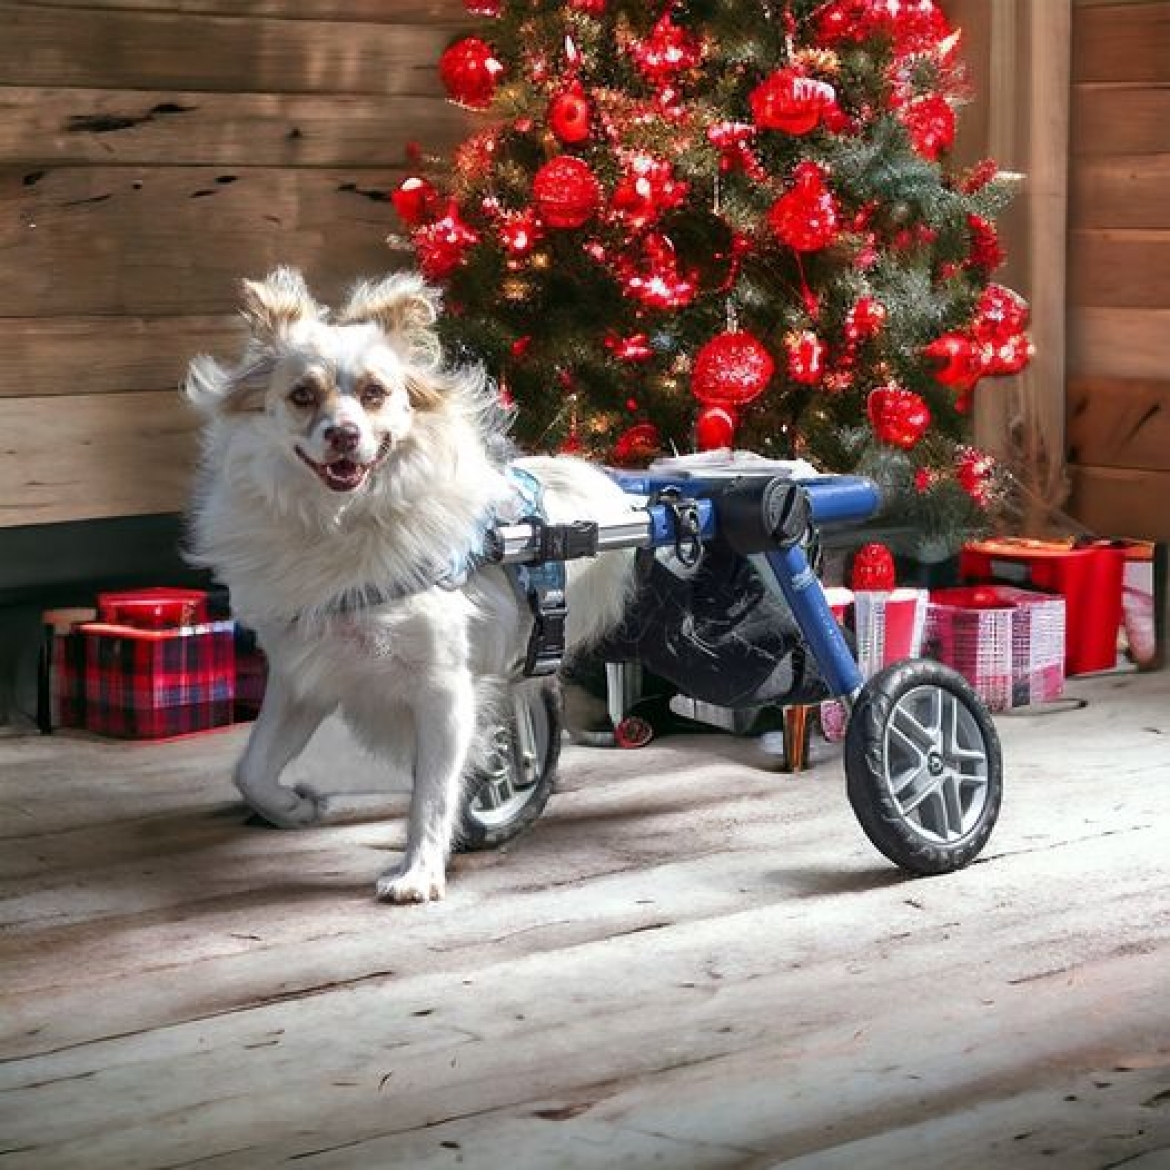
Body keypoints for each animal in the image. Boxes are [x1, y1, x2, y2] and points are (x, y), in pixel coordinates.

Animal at [186, 269, 636, 898]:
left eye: (376, 392)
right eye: (302, 395)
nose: (344, 435)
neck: (341, 525)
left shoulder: (443, 689)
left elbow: (433, 795)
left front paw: (419, 873)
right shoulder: (304, 677)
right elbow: (251, 769)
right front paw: (295, 808)